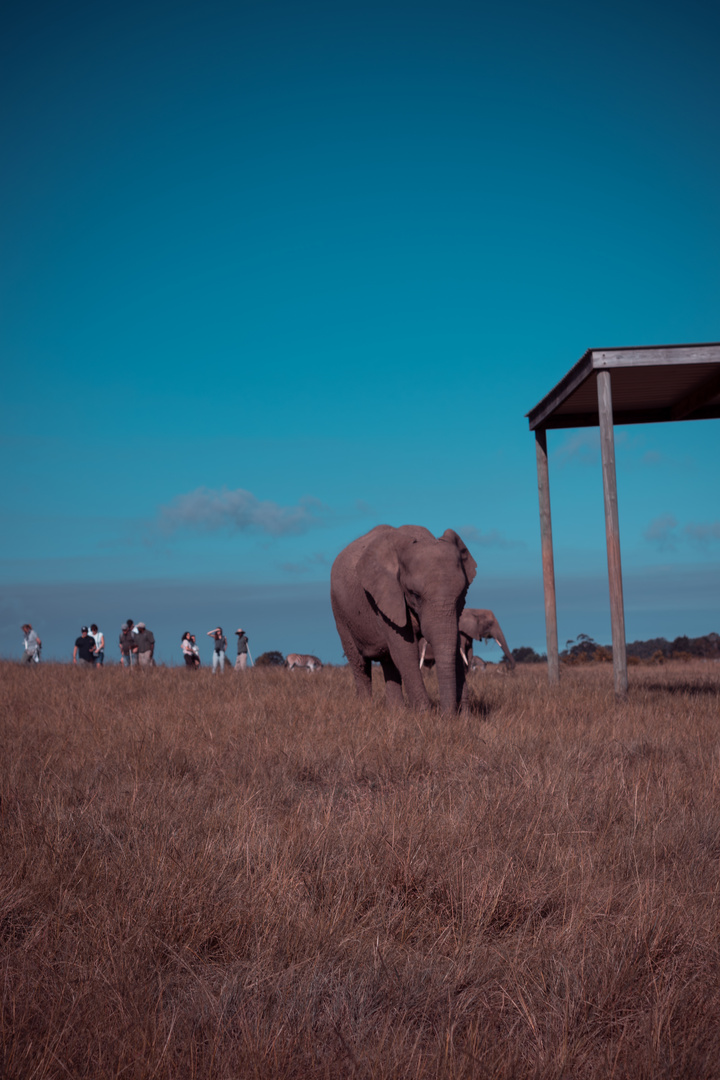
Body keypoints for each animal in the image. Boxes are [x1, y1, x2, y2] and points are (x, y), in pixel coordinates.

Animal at [332, 524, 479, 712]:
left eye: (462, 594)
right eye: (414, 594)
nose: (449, 715)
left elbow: (452, 643)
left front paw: (465, 715)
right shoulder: (384, 598)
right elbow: (405, 651)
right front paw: (425, 715)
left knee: (388, 661)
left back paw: (396, 711)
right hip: (340, 611)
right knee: (359, 662)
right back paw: (365, 707)